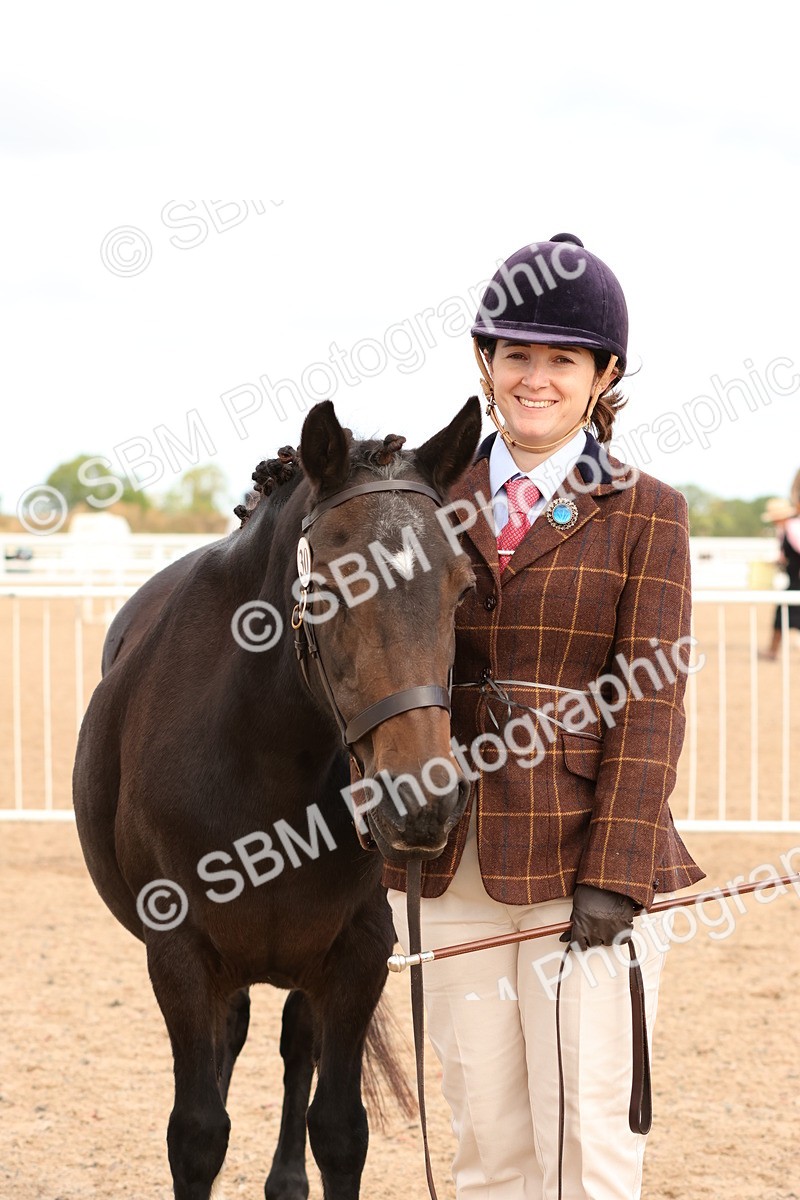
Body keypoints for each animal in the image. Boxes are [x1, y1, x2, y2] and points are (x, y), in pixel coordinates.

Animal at [73, 395, 482, 1200]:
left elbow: (341, 1131)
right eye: (330, 584)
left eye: (461, 587)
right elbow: (197, 1134)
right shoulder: (179, 955)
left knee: (297, 1046)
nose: (421, 802)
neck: (261, 761)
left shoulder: (359, 952)